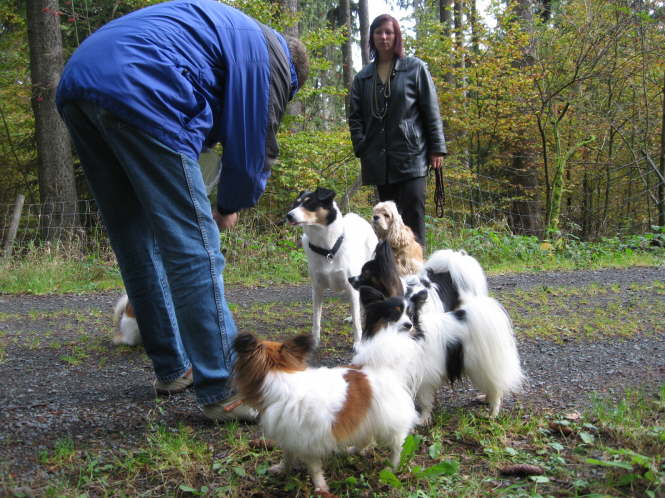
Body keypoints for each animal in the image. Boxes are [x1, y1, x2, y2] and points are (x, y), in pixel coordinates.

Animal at [233, 331, 417, 494]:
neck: (280, 380)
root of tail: (383, 369)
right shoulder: (290, 437)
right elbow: (288, 457)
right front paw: (281, 469)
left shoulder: (307, 442)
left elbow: (314, 469)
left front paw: (320, 488)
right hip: (363, 419)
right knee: (366, 438)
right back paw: (352, 450)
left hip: (388, 425)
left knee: (397, 446)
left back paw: (391, 467)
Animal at [286, 187, 378, 347]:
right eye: (295, 204)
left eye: (310, 204)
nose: (288, 216)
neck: (328, 249)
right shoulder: (317, 289)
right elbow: (316, 320)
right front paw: (315, 341)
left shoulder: (351, 287)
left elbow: (357, 323)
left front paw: (358, 343)